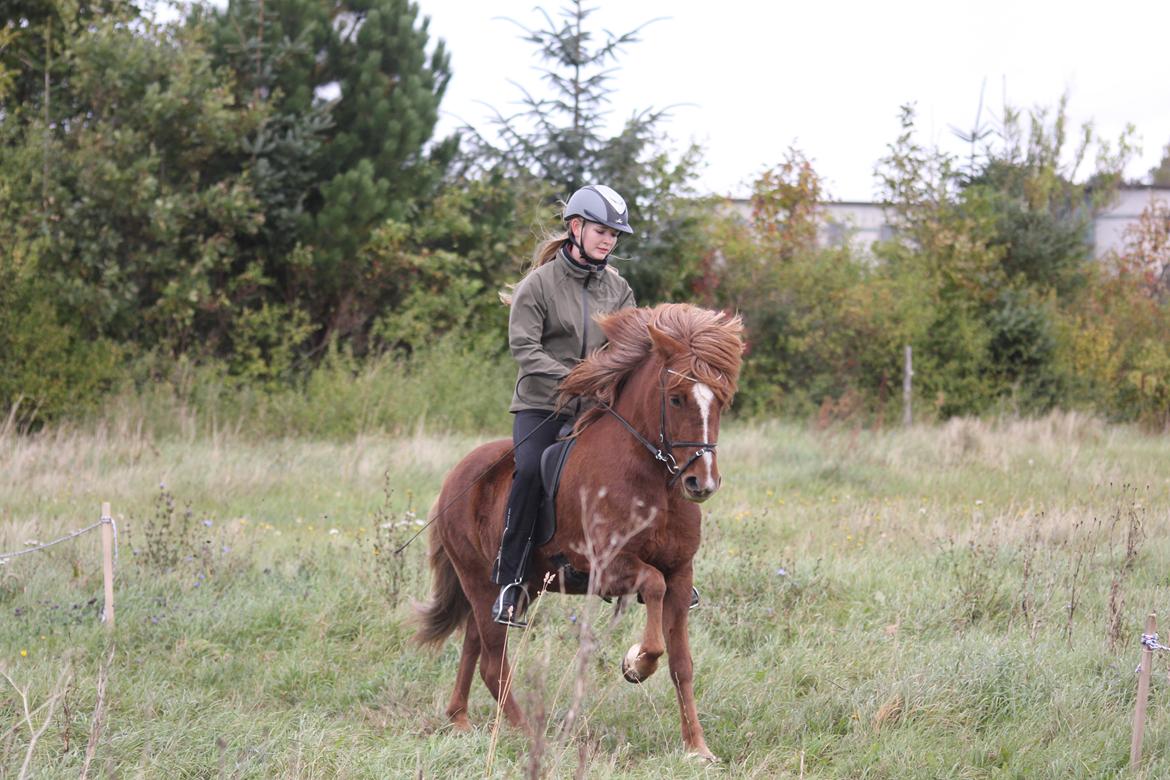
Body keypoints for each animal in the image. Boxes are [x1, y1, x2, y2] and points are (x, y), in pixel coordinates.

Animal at [414, 304, 739, 762]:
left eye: (722, 401)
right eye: (676, 398)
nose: (701, 483)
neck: (652, 481)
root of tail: (455, 477)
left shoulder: (681, 573)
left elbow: (682, 665)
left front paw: (697, 747)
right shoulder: (609, 567)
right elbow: (653, 594)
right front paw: (636, 663)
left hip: (515, 587)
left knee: (475, 646)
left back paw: (459, 719)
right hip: (480, 580)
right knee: (493, 662)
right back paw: (529, 735)